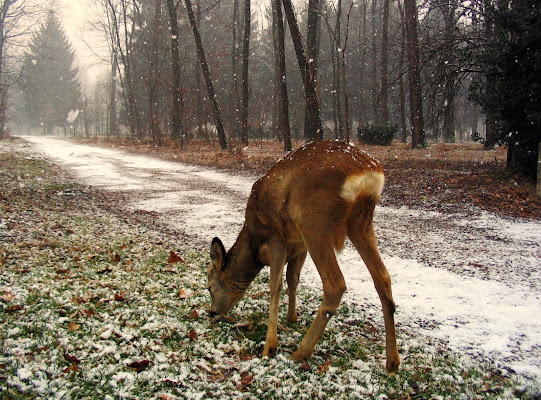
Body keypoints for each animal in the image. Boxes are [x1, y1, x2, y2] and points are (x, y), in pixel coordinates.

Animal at [209, 140, 398, 372]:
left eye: (210, 286)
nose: (211, 313)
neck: (253, 243)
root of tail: (368, 170)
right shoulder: (299, 248)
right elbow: (293, 279)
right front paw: (292, 318)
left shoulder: (276, 235)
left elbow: (275, 286)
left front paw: (269, 347)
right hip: (359, 222)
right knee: (383, 278)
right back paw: (392, 362)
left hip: (314, 221)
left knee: (335, 284)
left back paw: (301, 352)